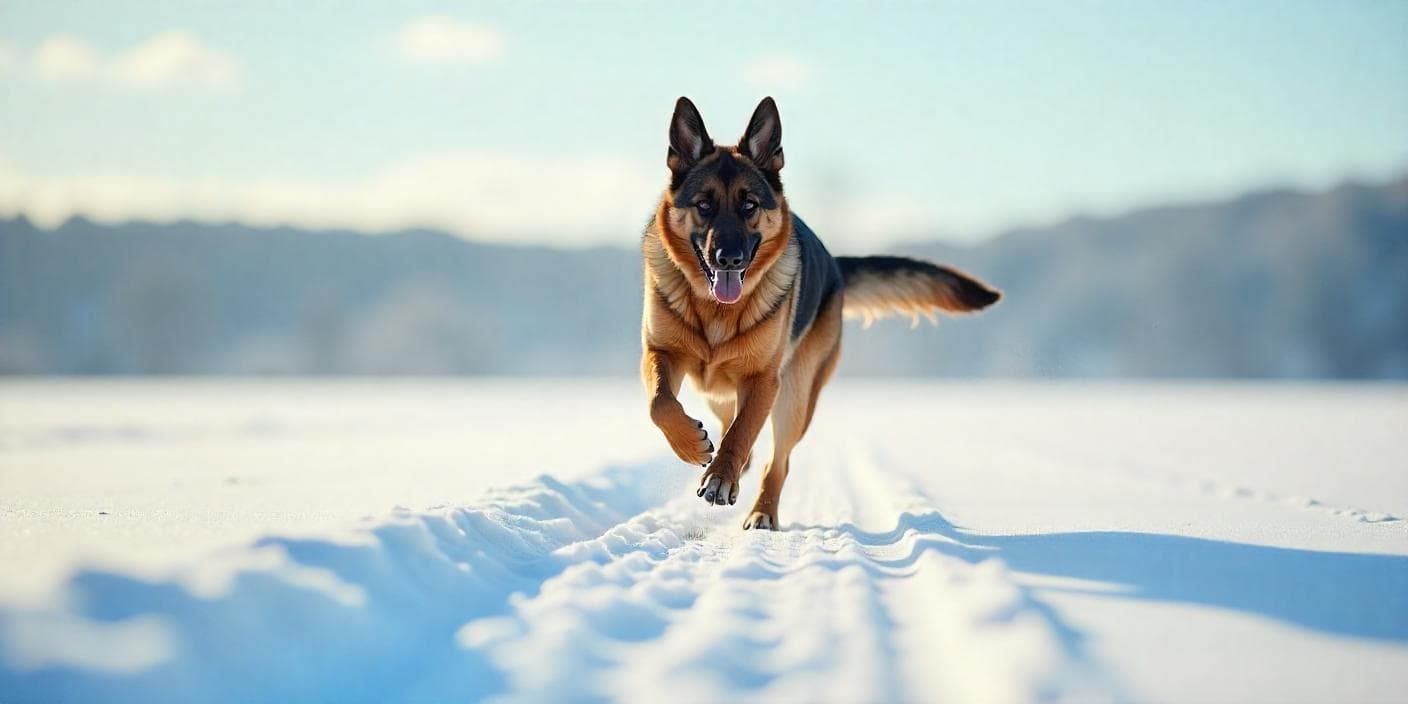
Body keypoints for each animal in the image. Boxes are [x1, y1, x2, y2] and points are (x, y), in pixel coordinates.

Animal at [644, 97, 996, 529]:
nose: (729, 258)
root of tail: (835, 266)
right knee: (728, 419)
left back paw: (761, 509)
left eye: (749, 206)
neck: (715, 311)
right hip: (723, 390)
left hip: (794, 396)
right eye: (704, 205)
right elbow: (660, 403)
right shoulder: (662, 354)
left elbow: (742, 431)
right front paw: (693, 447)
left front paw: (722, 476)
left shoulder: (763, 380)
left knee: (777, 461)